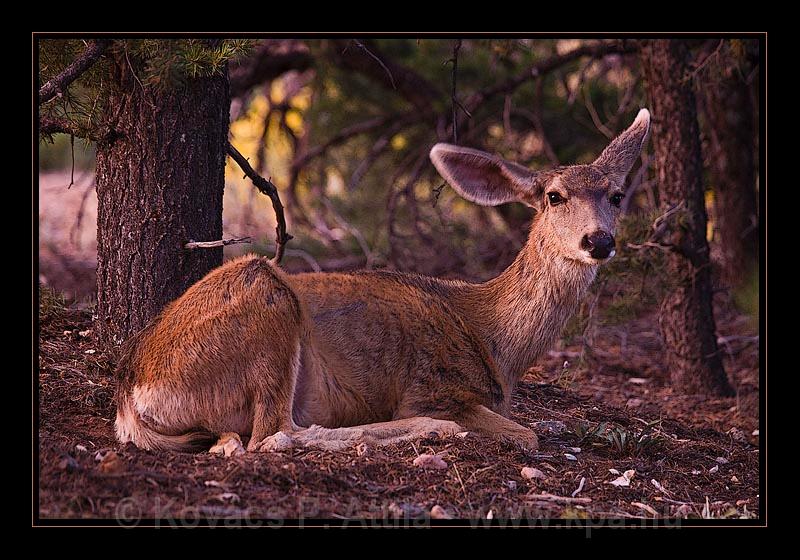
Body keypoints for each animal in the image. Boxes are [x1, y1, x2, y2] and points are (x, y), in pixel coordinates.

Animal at [112, 108, 648, 456]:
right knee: (273, 436)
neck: (497, 341)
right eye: (554, 196)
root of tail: (132, 394)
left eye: (617, 195)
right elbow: (526, 433)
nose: (599, 240)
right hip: (265, 300)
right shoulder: (434, 386)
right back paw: (429, 430)